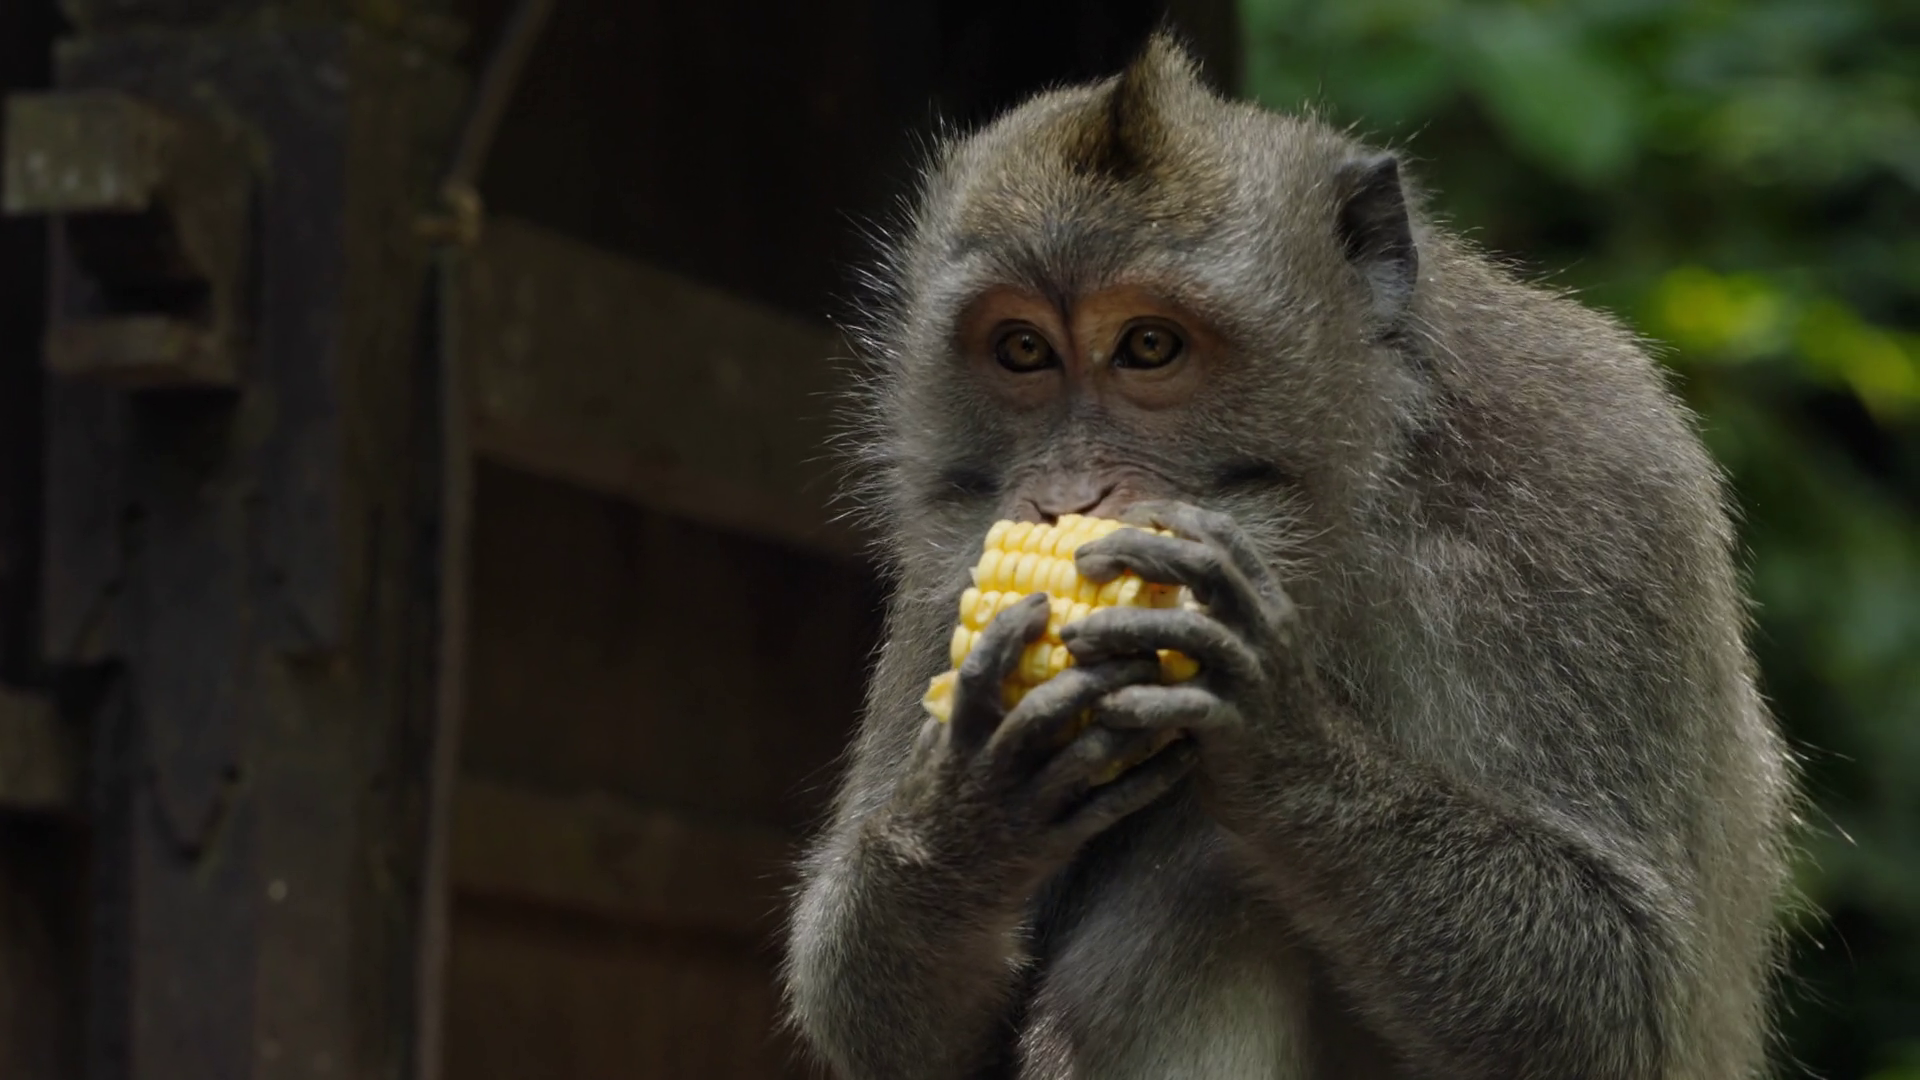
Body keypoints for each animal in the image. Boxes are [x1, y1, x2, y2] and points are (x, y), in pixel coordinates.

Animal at [783, 32, 1795, 1080]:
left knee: (1210, 880)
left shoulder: (1600, 484)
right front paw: (968, 806)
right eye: (1023, 350)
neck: (1342, 517)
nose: (1066, 501)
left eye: (1149, 346)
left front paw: (1276, 732)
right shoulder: (946, 565)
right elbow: (883, 1023)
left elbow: (1621, 995)